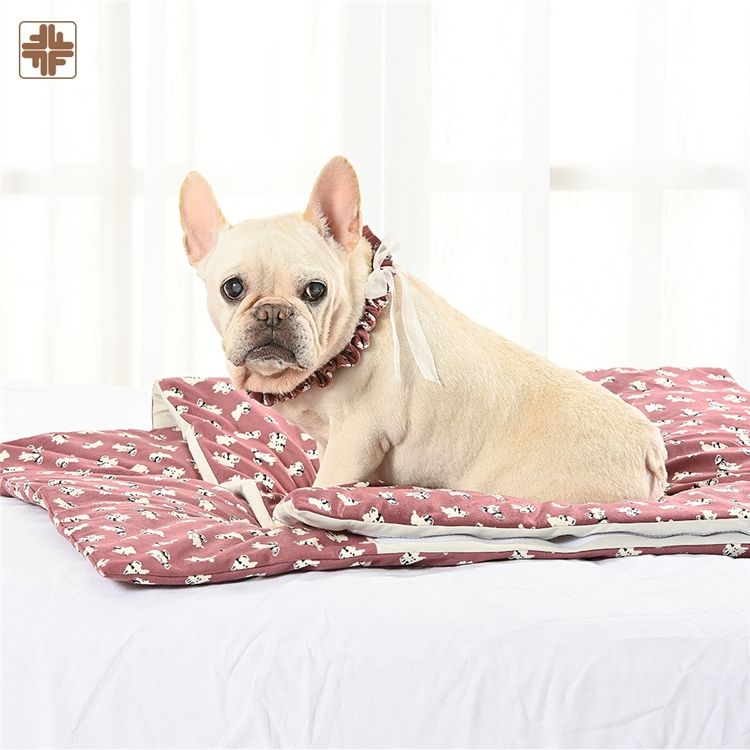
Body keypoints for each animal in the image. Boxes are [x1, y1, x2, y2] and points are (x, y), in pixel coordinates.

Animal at [179, 156, 667, 504]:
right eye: (232, 288)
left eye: (316, 290)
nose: (273, 313)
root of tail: (652, 450)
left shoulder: (355, 439)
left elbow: (317, 488)